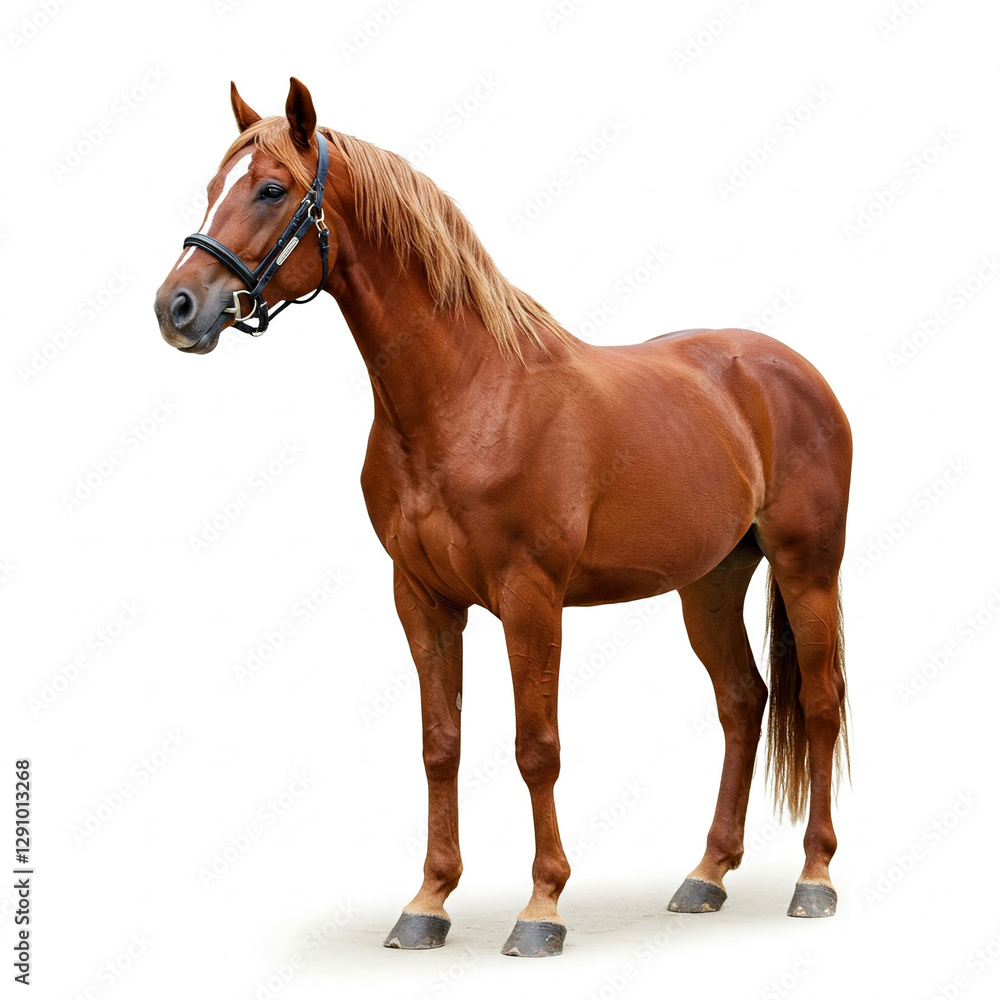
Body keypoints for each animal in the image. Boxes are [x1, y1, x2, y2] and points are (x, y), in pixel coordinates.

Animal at [154, 78, 852, 958]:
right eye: (214, 187)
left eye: (272, 189)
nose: (177, 307)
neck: (468, 397)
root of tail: (786, 369)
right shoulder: (421, 599)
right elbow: (440, 746)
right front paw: (428, 902)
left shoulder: (531, 598)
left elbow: (536, 748)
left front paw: (542, 909)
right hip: (711, 582)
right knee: (742, 701)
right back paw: (705, 876)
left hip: (807, 569)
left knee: (819, 704)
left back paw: (814, 879)